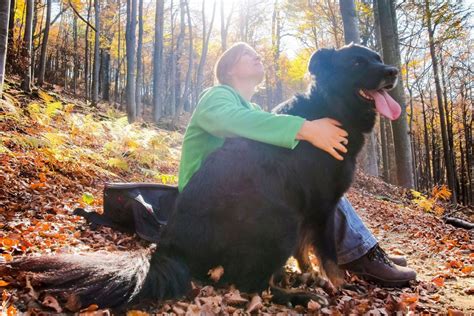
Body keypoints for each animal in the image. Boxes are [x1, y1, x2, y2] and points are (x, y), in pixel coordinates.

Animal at [0, 43, 400, 308]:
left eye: (377, 58)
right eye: (358, 61)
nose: (394, 71)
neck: (330, 108)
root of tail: (167, 250)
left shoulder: (310, 209)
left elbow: (307, 250)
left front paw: (309, 271)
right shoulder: (320, 204)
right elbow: (328, 251)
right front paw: (335, 283)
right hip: (279, 220)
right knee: (250, 284)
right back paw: (297, 295)